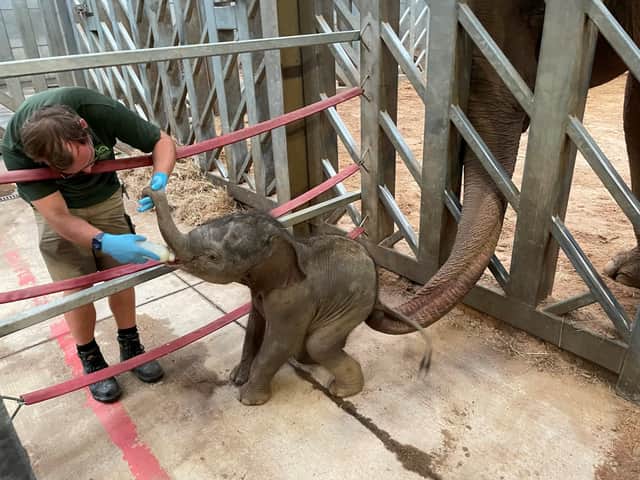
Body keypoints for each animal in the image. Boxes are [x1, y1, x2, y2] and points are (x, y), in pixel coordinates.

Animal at [142, 186, 430, 405]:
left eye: (212, 257)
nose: (148, 192)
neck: (284, 240)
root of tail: (378, 293)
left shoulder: (293, 299)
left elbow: (279, 343)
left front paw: (248, 399)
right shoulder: (260, 291)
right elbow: (254, 328)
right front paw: (237, 378)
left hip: (353, 304)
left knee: (318, 343)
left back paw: (340, 390)